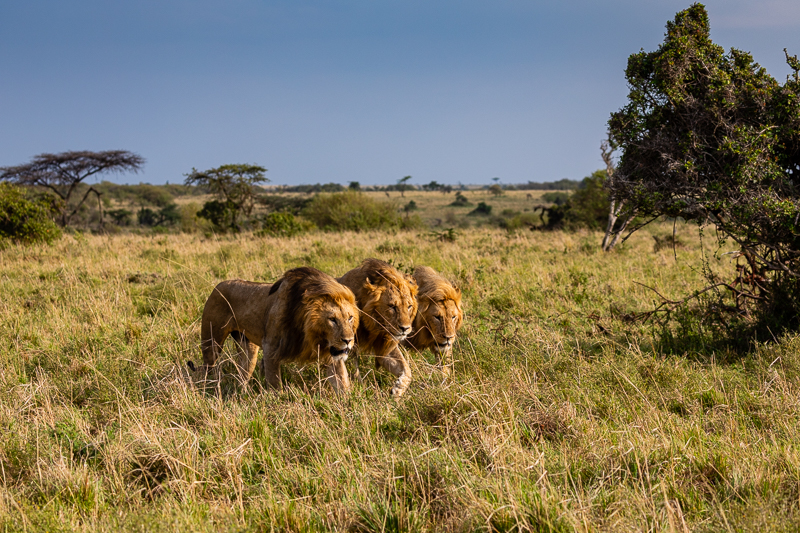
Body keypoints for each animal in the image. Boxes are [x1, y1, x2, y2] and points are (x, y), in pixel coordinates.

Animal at [186, 266, 358, 394]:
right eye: (332, 319)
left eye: (350, 318)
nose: (348, 341)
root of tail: (218, 285)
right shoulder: (271, 347)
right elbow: (275, 382)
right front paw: (278, 401)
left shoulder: (332, 355)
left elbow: (341, 381)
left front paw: (348, 403)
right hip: (212, 342)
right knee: (206, 368)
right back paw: (206, 389)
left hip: (248, 350)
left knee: (243, 374)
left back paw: (242, 393)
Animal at [340, 258, 422, 394]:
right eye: (392, 306)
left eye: (409, 306)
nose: (405, 329)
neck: (375, 325)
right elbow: (349, 372)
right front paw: (359, 390)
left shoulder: (385, 345)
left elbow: (406, 368)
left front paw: (398, 390)